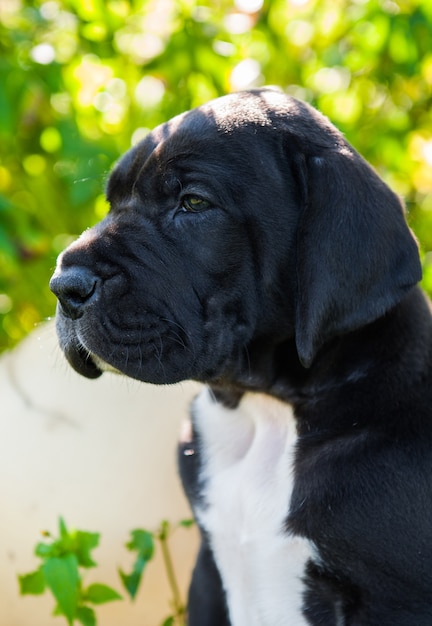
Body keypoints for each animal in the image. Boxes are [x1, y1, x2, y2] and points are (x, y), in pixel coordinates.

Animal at [49, 89, 432, 624]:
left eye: (193, 203)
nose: (63, 286)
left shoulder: (395, 598)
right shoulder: (208, 574)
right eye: (112, 202)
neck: (264, 411)